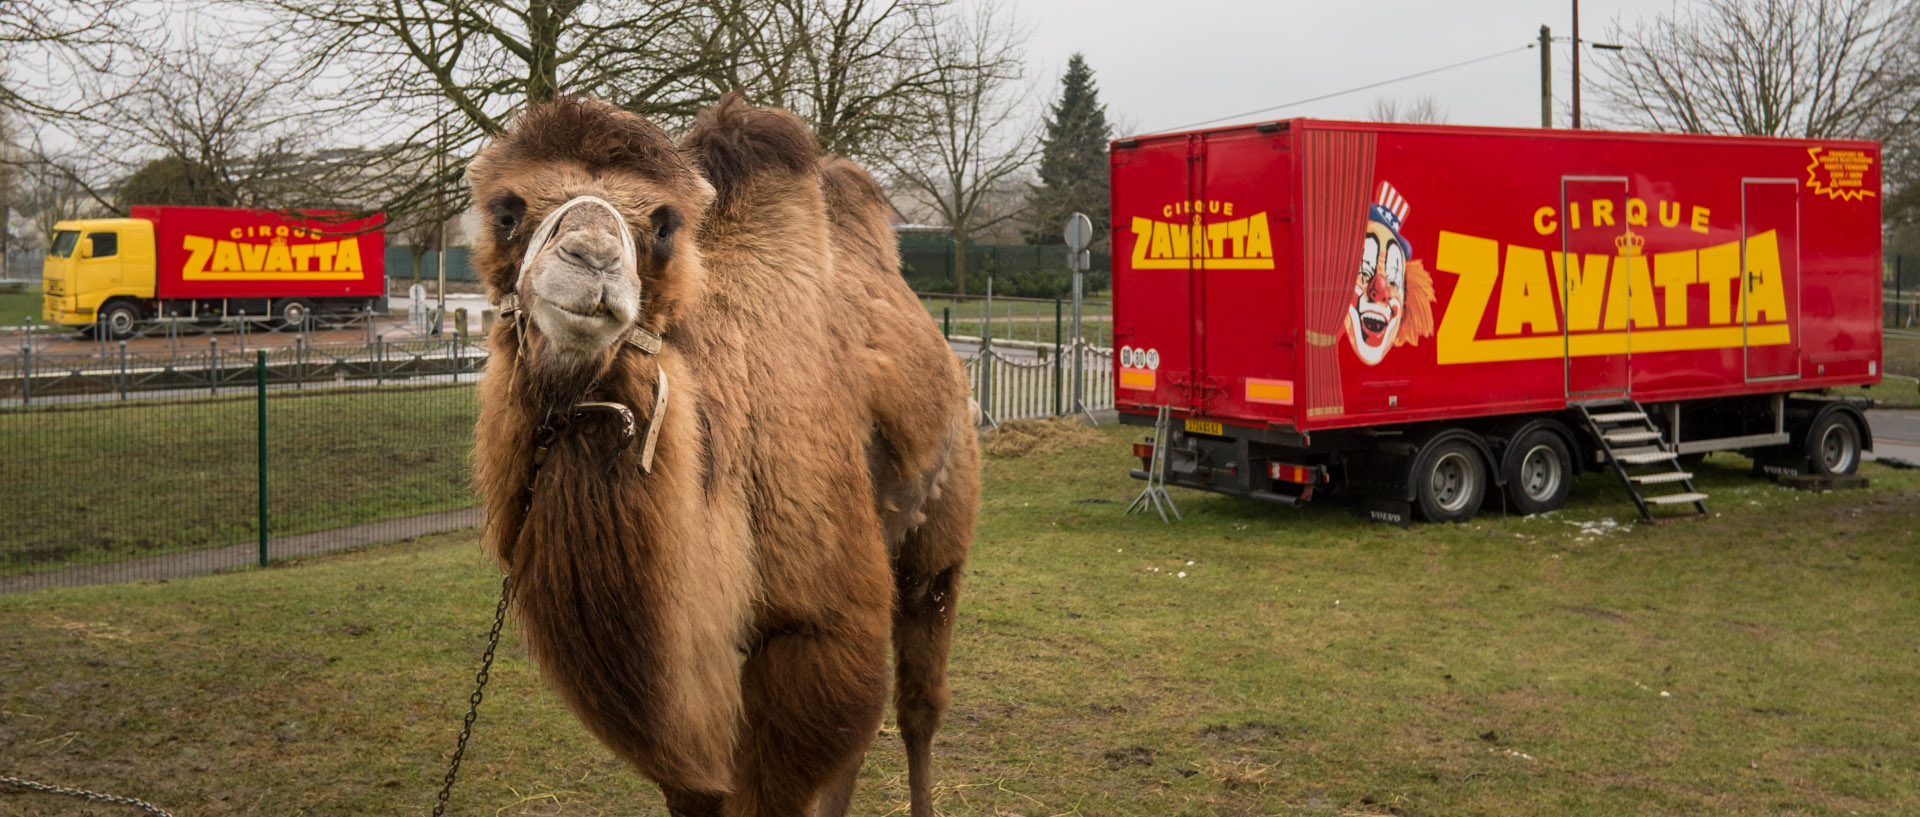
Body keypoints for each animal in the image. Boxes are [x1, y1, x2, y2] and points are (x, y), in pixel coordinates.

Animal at [462, 95, 975, 817]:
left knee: (916, 704)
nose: (591, 260)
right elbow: (697, 785)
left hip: (946, 511)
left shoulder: (820, 626)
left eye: (664, 225)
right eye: (506, 212)